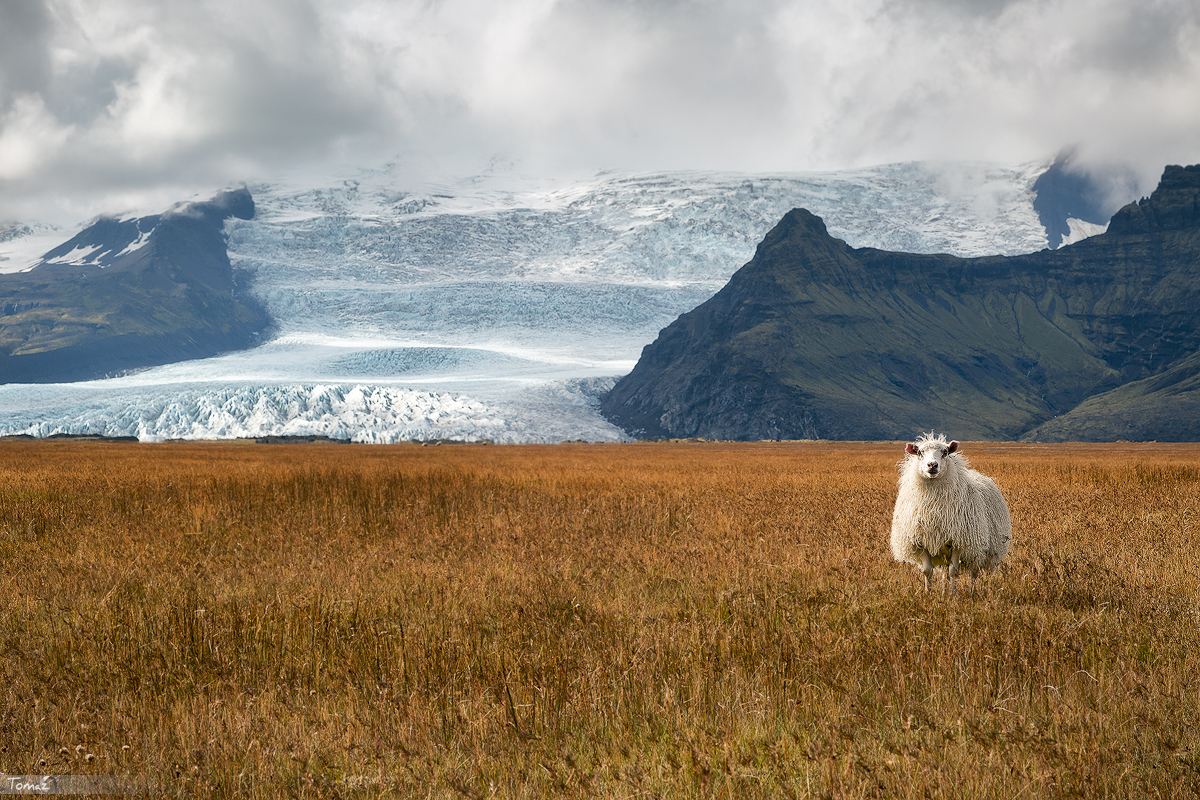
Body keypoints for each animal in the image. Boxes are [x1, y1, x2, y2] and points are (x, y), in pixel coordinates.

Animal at [888, 431, 1008, 594]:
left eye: (945, 452)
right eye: (920, 452)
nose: (932, 465)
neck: (933, 506)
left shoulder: (958, 542)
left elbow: (953, 572)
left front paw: (954, 594)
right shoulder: (922, 540)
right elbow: (928, 571)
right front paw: (928, 593)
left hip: (980, 550)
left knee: (974, 572)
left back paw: (972, 592)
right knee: (946, 571)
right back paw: (945, 591)